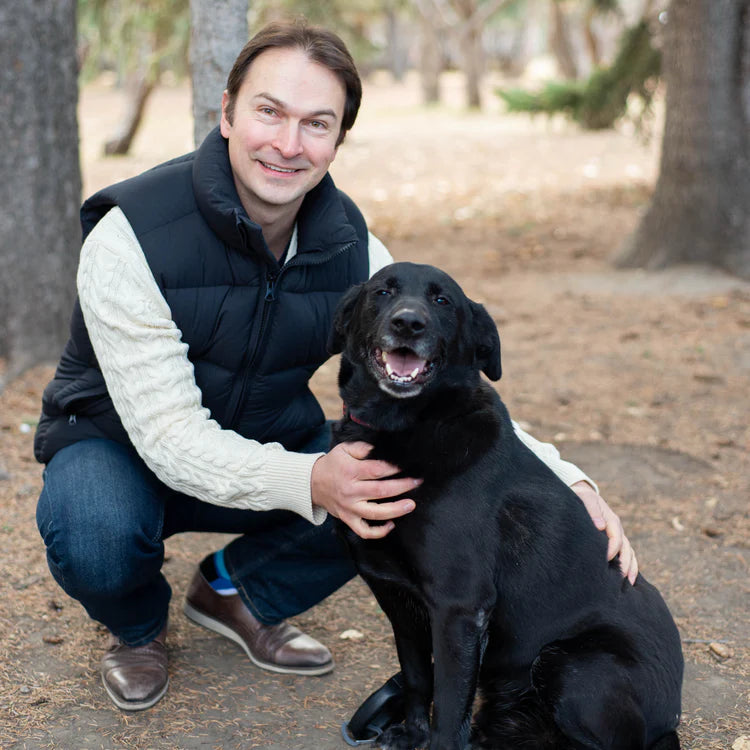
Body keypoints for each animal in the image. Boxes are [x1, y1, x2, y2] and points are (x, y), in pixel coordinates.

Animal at [329, 262, 683, 750]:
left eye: (442, 301)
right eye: (383, 291)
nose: (408, 323)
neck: (403, 427)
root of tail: (672, 715)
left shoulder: (459, 607)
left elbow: (448, 708)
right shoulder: (398, 599)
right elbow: (419, 678)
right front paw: (411, 733)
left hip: (570, 666)